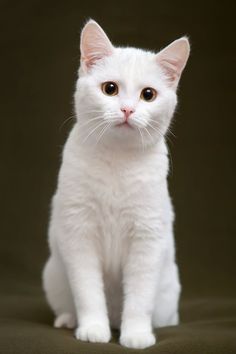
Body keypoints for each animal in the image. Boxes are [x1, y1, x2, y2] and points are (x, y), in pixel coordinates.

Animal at [42, 19, 190, 348]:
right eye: (110, 89)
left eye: (148, 94)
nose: (127, 110)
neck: (117, 161)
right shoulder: (78, 233)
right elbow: (87, 292)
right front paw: (93, 329)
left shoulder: (147, 237)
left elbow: (139, 298)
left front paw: (136, 334)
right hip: (54, 274)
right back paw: (69, 320)